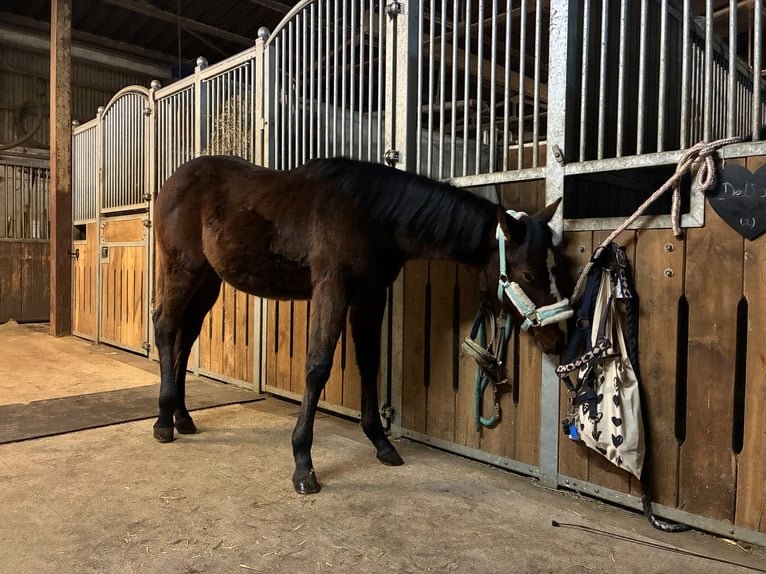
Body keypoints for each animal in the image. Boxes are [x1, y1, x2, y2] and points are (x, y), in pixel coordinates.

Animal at [151, 155, 571, 495]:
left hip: (208, 280)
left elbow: (369, 363)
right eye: (529, 273)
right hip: (183, 269)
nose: (558, 339)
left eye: (556, 267)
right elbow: (318, 368)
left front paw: (381, 443)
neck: (372, 214)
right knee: (166, 327)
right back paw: (163, 423)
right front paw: (303, 463)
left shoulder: (371, 295)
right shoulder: (332, 288)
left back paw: (183, 417)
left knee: (186, 335)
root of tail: (170, 184)